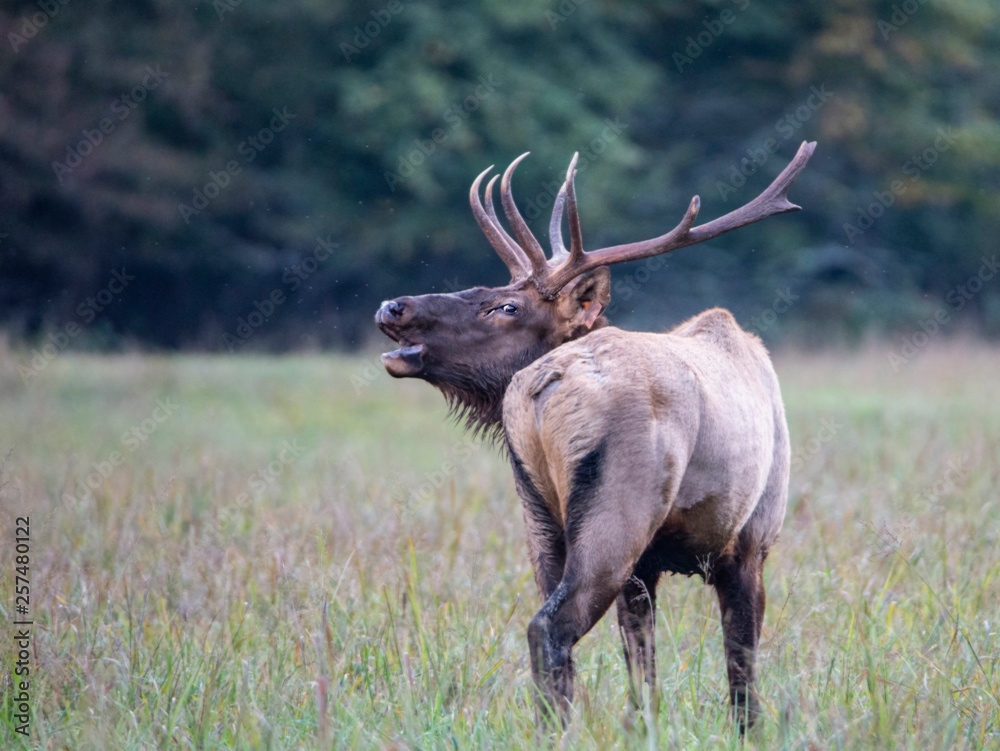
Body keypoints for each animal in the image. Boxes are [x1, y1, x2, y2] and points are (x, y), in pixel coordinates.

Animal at [375, 140, 816, 732]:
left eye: (506, 304)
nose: (392, 306)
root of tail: (544, 381)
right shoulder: (750, 541)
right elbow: (741, 674)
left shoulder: (651, 568)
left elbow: (643, 671)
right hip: (617, 513)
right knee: (549, 627)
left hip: (540, 516)